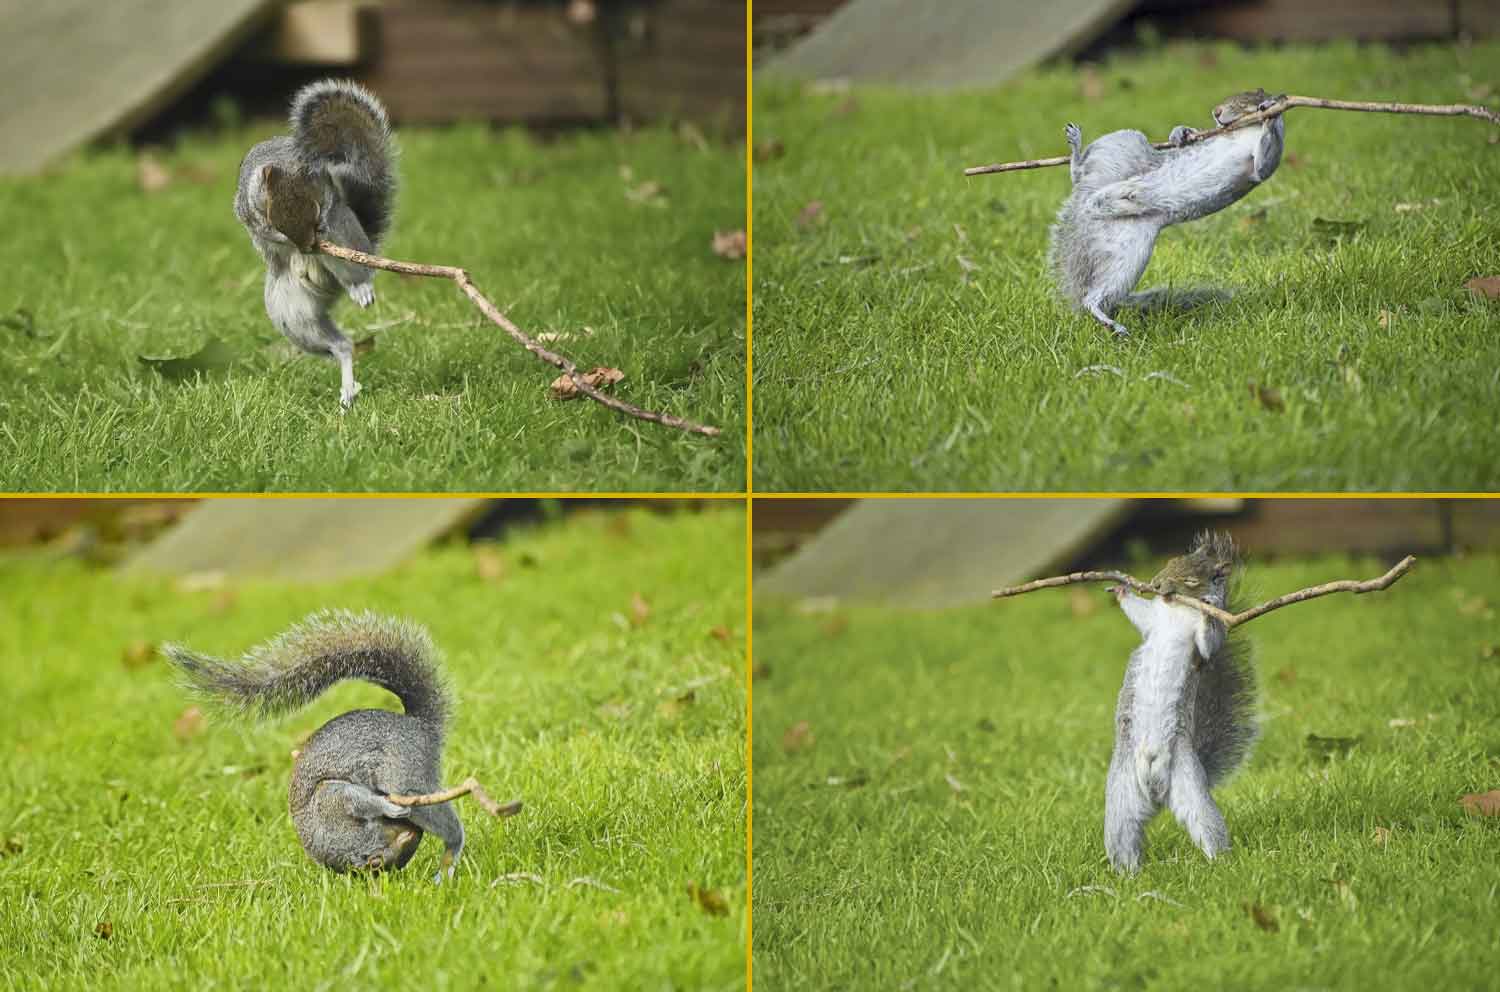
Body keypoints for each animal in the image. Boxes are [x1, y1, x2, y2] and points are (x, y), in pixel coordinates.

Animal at [158, 606, 462, 876]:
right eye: (377, 863)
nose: (412, 834)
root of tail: (419, 724)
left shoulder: (333, 799)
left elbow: (359, 800)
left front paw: (386, 807)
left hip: (404, 775)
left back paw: (451, 850)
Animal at [231, 76, 396, 411]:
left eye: (317, 208)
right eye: (271, 214)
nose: (307, 246)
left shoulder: (328, 195)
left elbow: (330, 205)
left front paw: (320, 227)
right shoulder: (246, 207)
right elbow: (259, 228)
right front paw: (277, 237)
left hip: (348, 243)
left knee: (354, 274)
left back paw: (360, 288)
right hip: (294, 316)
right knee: (342, 345)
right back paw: (348, 388)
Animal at [1050, 88, 1284, 336]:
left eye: (1248, 98)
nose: (1216, 112)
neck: (1243, 131)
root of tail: (1087, 200)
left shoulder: (1260, 168)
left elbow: (1263, 164)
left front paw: (1271, 114)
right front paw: (1181, 132)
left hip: (1128, 251)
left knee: (1094, 297)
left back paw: (1107, 320)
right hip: (1121, 148)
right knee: (1080, 173)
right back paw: (1076, 150)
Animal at [1104, 531, 1254, 870]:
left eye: (1191, 579)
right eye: (1170, 560)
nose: (1156, 584)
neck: (1177, 610)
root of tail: (1156, 794)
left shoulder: (1208, 642)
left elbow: (1210, 642)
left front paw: (1208, 610)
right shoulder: (1153, 621)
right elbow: (1142, 615)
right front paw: (1121, 589)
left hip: (1188, 785)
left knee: (1206, 826)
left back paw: (1219, 864)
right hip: (1122, 797)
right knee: (1124, 836)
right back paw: (1128, 874)